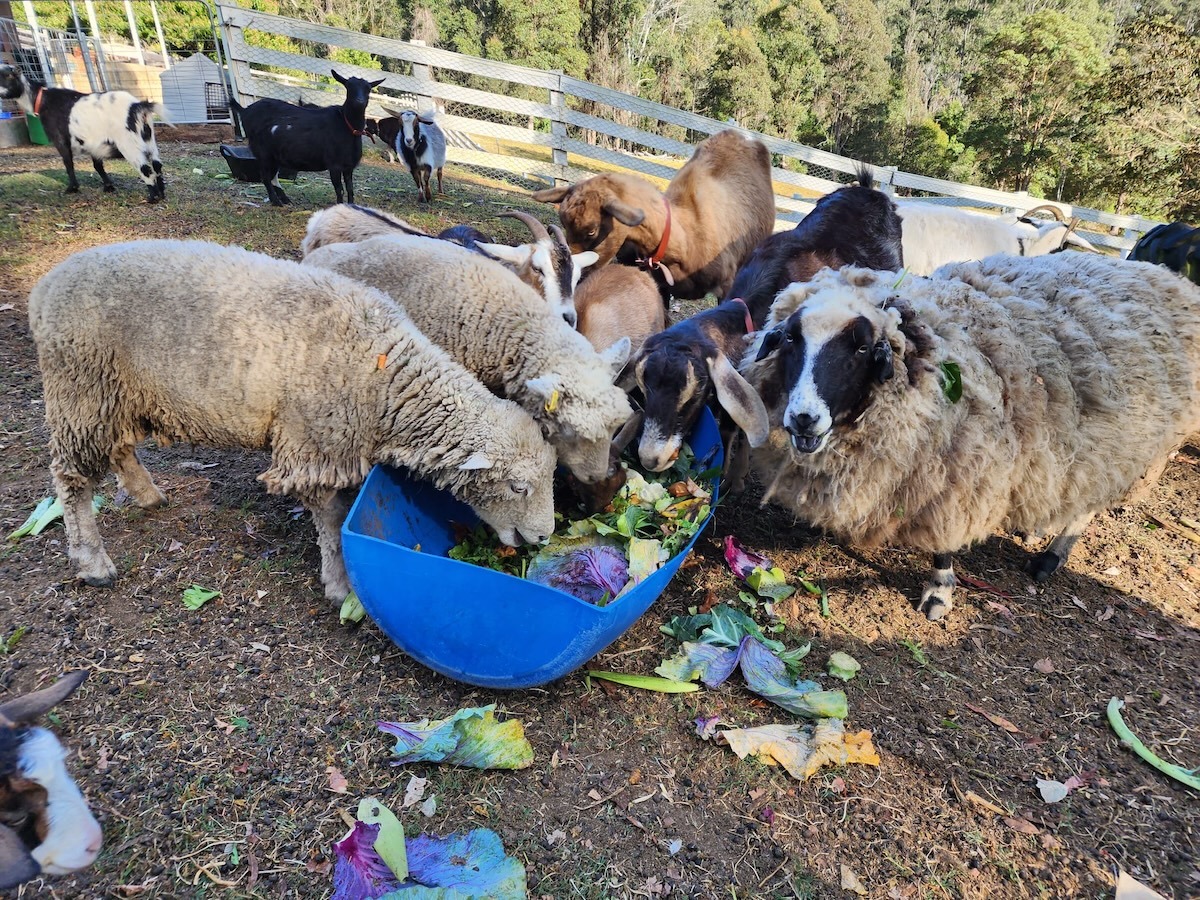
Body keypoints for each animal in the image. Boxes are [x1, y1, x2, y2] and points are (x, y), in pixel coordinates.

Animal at [0, 64, 170, 202]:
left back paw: (152, 198)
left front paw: (72, 188)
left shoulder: (60, 139)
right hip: (149, 140)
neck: (42, 100)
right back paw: (161, 194)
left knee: (145, 169)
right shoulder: (94, 144)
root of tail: (137, 106)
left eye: (5, 75)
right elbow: (97, 165)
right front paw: (108, 186)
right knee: (157, 165)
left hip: (129, 145)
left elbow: (68, 163)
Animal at [229, 69, 385, 207]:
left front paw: (351, 206)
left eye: (368, 89)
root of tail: (245, 110)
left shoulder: (348, 166)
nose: (359, 102)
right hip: (263, 152)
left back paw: (285, 199)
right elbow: (339, 189)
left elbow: (350, 188)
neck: (347, 125)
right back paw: (276, 202)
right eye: (349, 87)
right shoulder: (334, 165)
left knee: (273, 177)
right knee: (266, 177)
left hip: (274, 156)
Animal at [532, 129, 775, 299]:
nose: (570, 275)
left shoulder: (726, 286)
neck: (686, 237)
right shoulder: (660, 285)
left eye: (592, 230)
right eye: (564, 225)